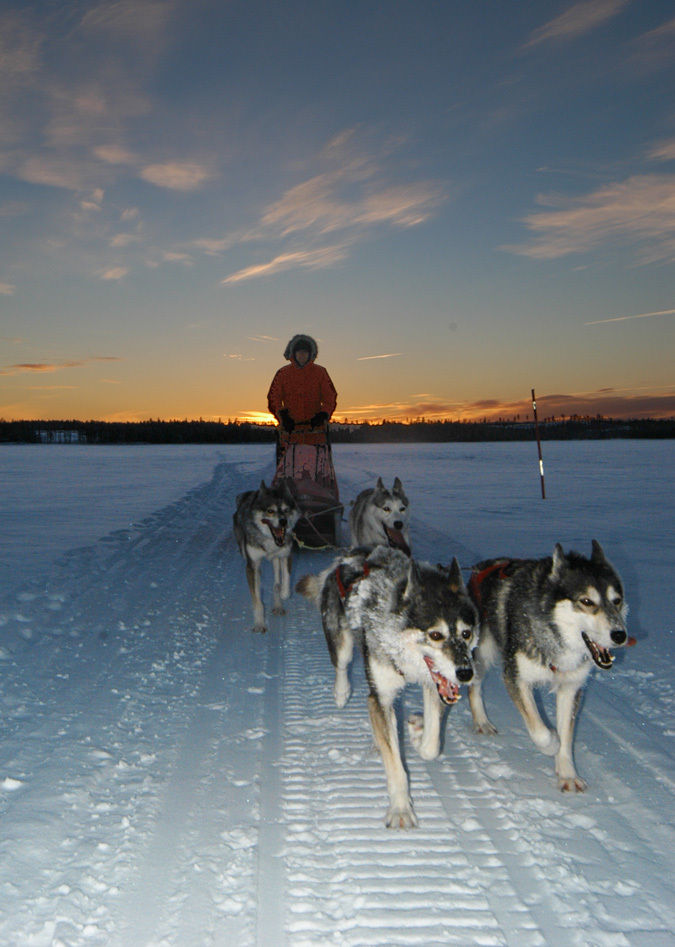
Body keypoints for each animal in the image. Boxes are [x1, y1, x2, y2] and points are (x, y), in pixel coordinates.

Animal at [233, 480, 300, 633]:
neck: (270, 540)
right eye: (270, 511)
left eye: (286, 510)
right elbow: (257, 600)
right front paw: (259, 623)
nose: (283, 521)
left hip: (276, 560)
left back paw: (278, 605)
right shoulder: (252, 566)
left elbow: (285, 581)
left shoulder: (286, 555)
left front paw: (284, 594)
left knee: (276, 581)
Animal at [297, 545, 478, 828]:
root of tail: (350, 555)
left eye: (466, 634)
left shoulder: (434, 684)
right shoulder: (380, 696)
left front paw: (417, 731)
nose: (466, 673)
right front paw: (401, 809)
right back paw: (342, 691)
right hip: (342, 641)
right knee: (342, 663)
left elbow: (431, 746)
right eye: (435, 635)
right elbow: (395, 766)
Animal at [467, 540, 635, 792]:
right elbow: (540, 731)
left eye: (617, 601)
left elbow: (567, 735)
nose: (619, 635)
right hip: (481, 656)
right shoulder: (516, 678)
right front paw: (552, 743)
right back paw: (481, 722)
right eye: (587, 601)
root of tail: (480, 568)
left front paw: (567, 774)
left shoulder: (571, 688)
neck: (555, 636)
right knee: (473, 686)